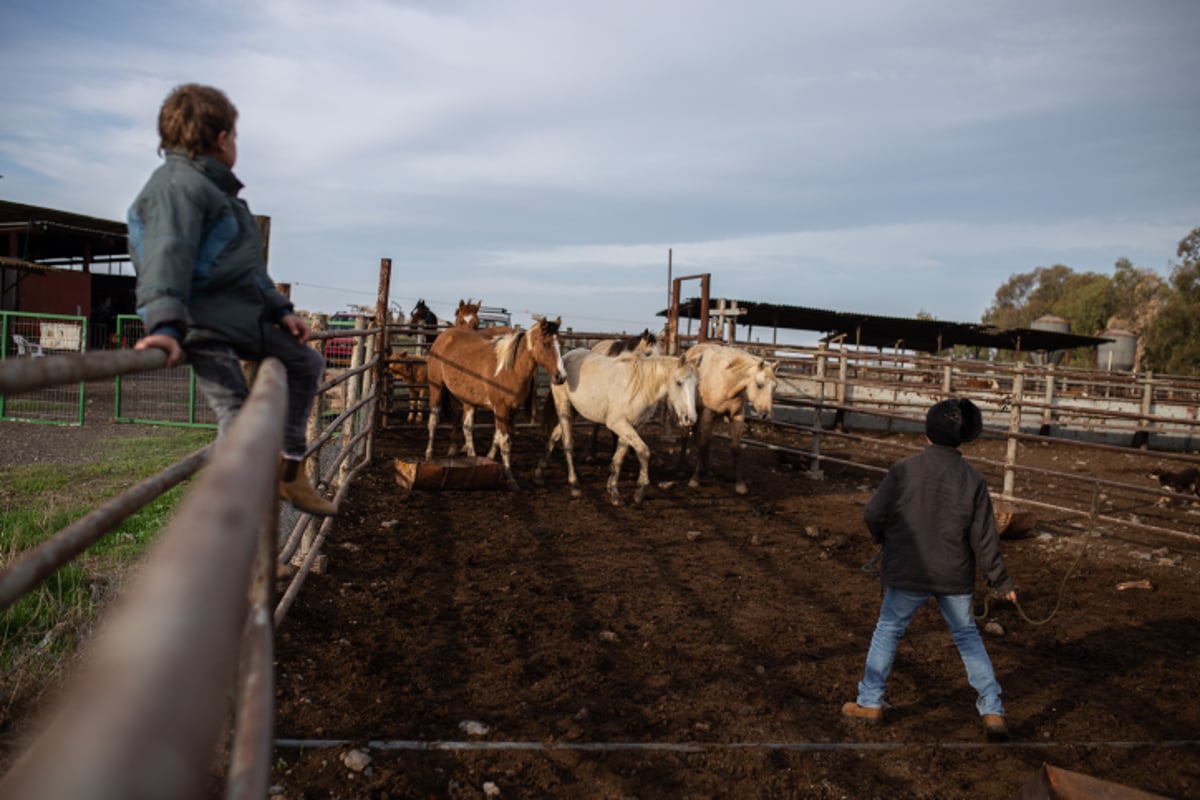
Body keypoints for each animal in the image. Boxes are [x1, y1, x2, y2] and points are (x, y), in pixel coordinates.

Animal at [537, 347, 700, 503]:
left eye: (696, 384)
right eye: (679, 382)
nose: (690, 419)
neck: (640, 387)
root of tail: (565, 358)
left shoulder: (631, 426)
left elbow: (619, 458)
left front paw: (613, 492)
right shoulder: (618, 424)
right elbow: (643, 451)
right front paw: (639, 493)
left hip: (574, 412)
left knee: (555, 435)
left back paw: (539, 474)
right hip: (563, 406)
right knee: (568, 443)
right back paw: (574, 485)